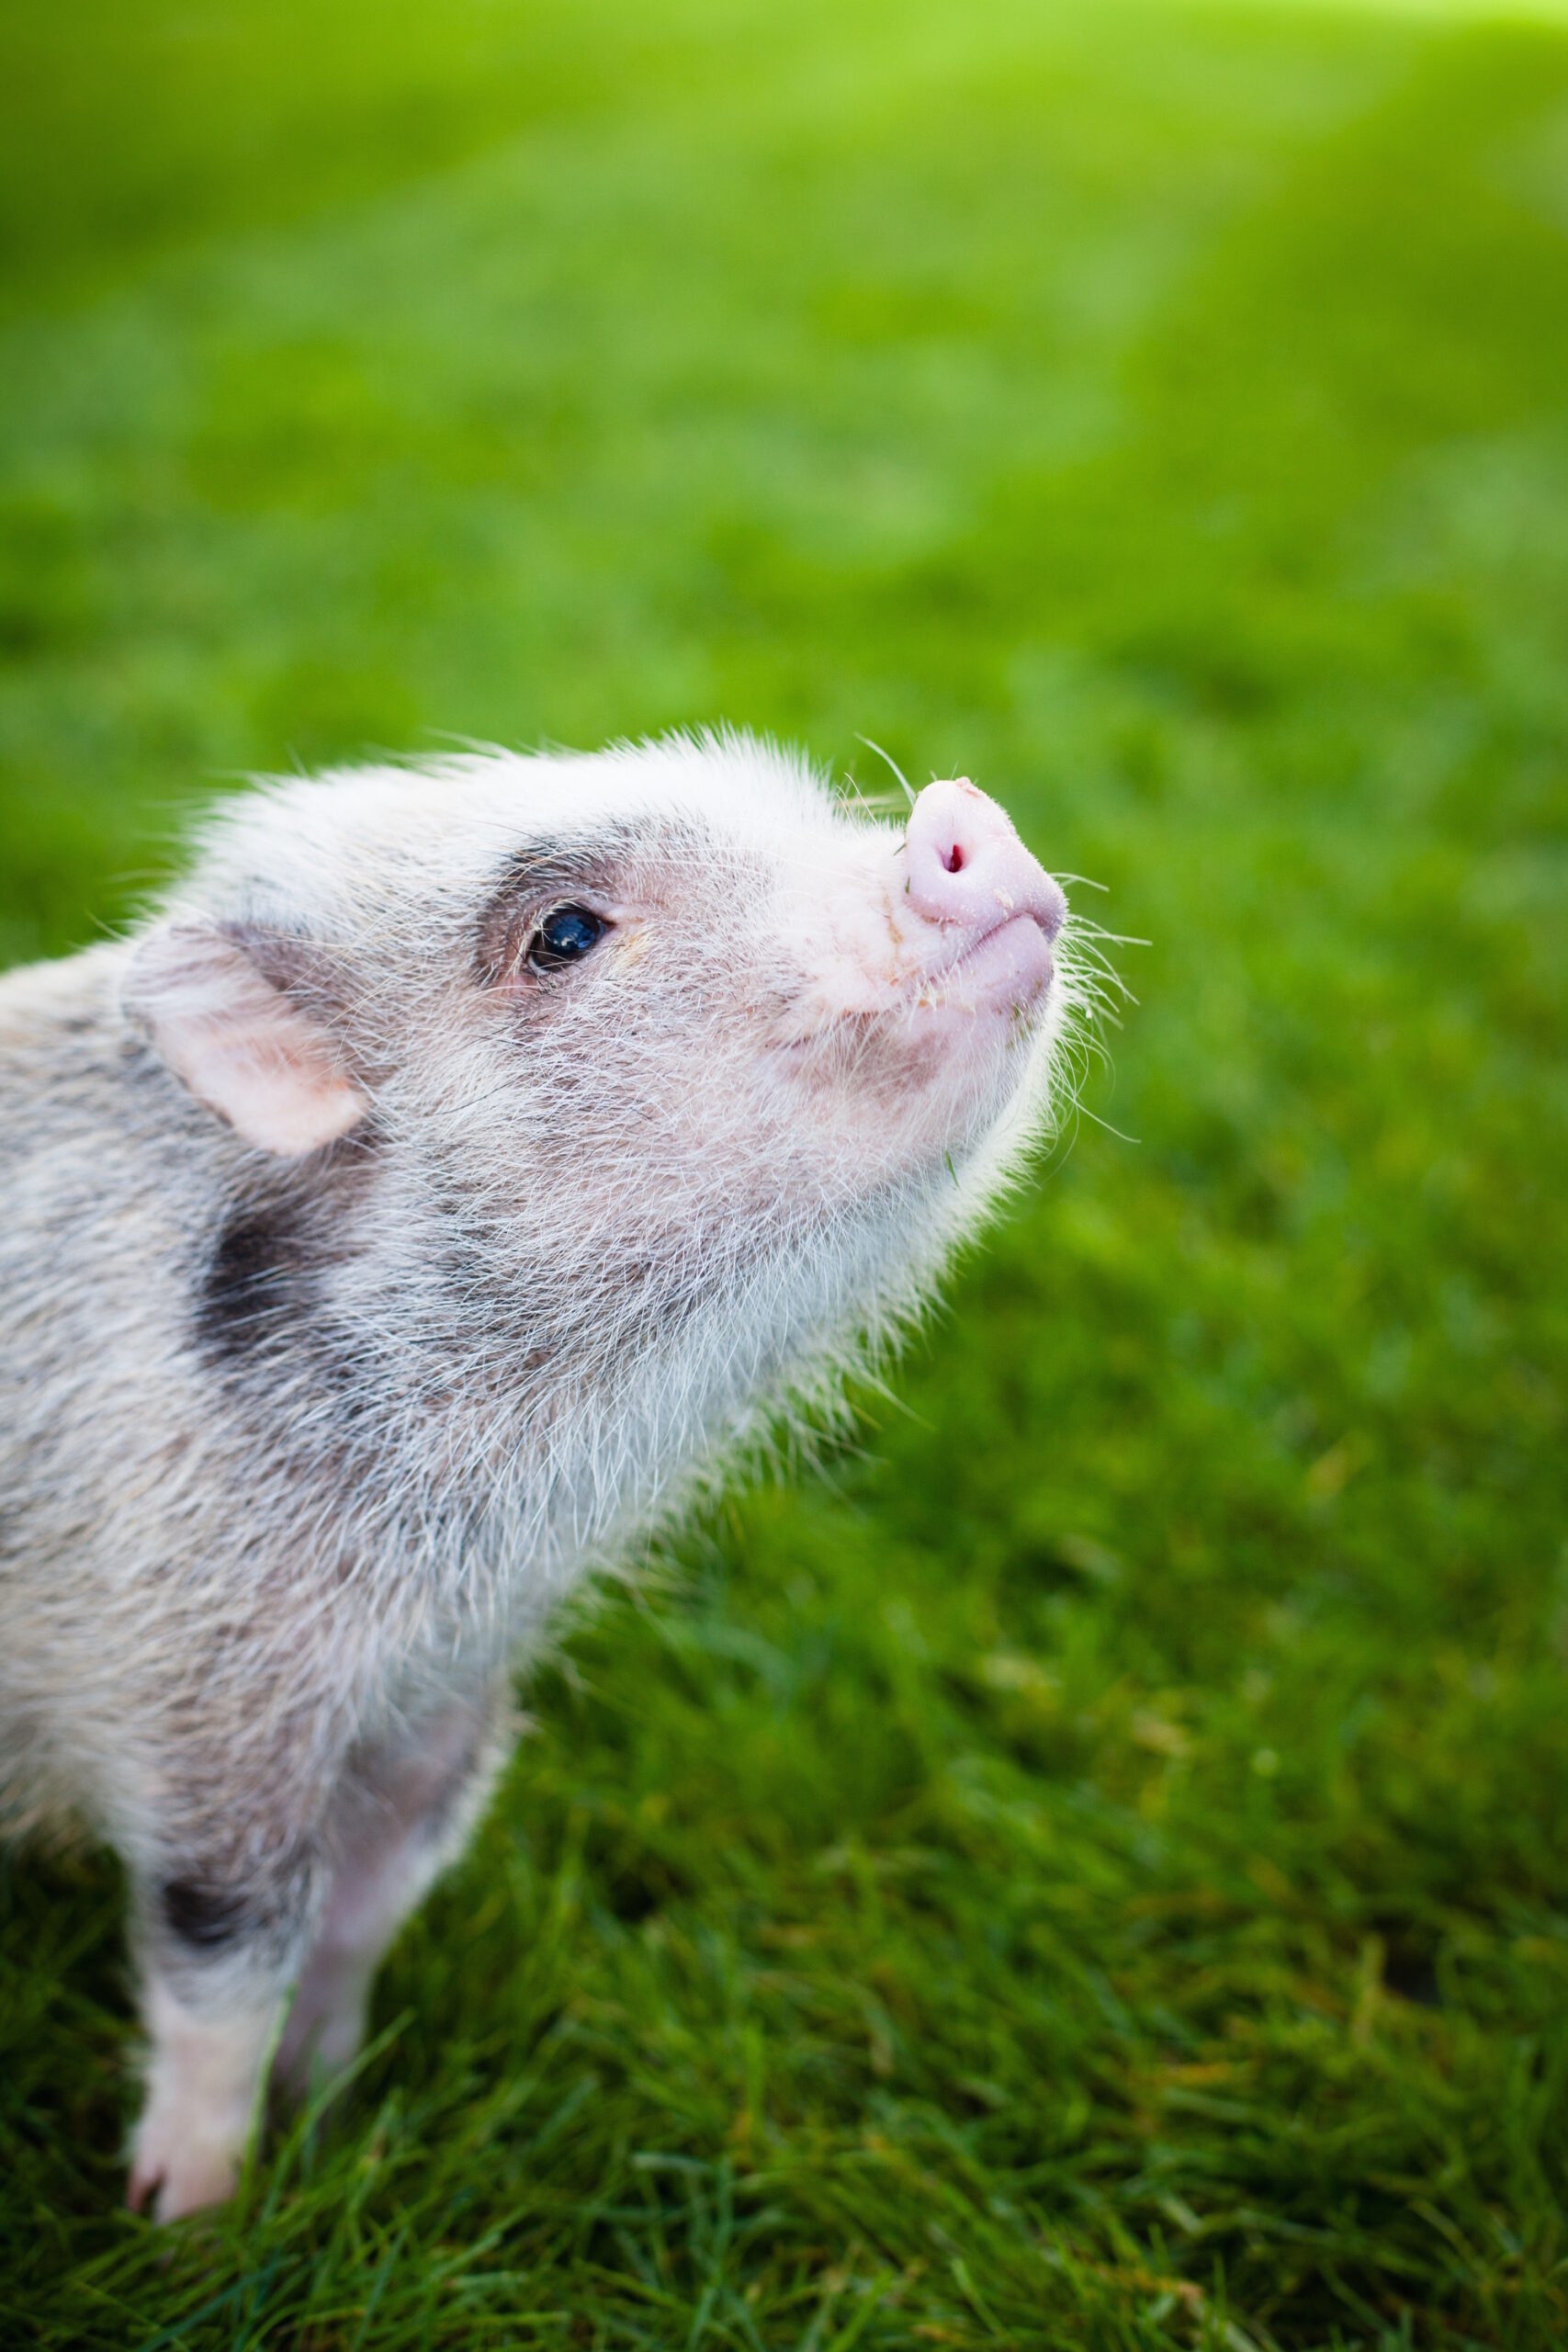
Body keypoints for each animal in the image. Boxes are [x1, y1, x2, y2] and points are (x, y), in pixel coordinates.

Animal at [0, 732, 1074, 2220]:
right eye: (562, 935)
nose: (954, 809)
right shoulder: (196, 1696)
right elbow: (224, 1959)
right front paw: (189, 2219)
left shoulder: (449, 1698)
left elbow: (368, 1915)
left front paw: (338, 2115)